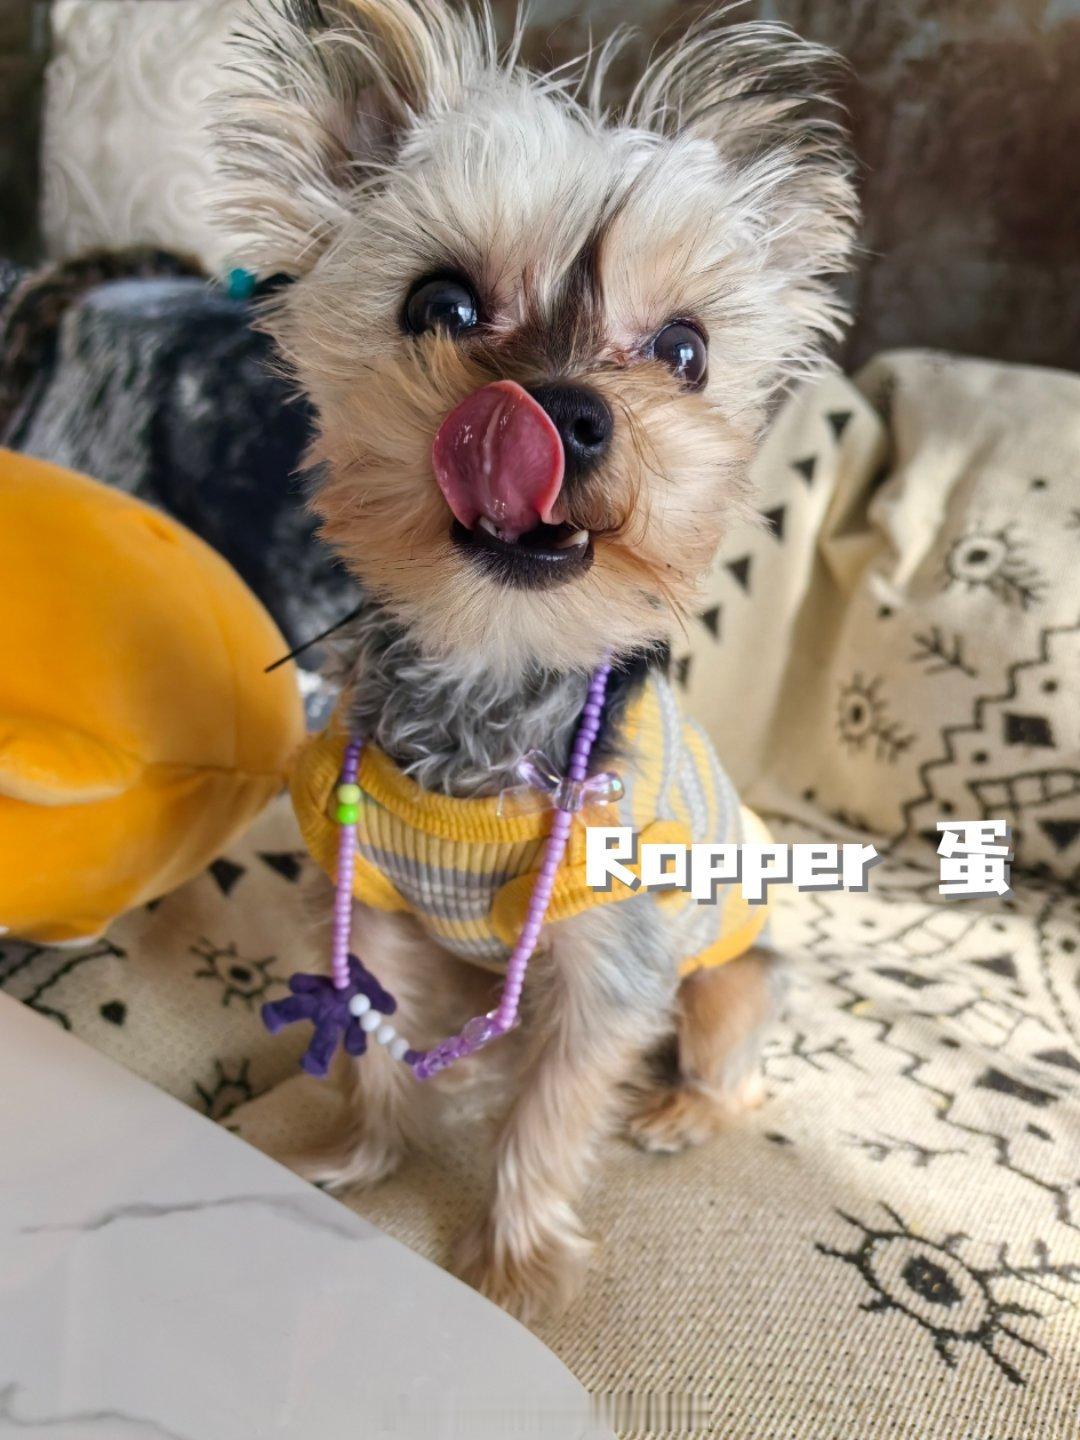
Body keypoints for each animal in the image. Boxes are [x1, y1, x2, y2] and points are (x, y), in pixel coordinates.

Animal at [217, 0, 856, 1319]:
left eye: (683, 352)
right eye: (443, 308)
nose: (562, 411)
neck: (495, 678)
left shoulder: (611, 959)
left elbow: (557, 1104)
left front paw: (512, 1265)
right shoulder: (377, 912)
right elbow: (376, 1045)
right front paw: (358, 1152)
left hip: (738, 976)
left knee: (732, 1060)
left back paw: (677, 1110)